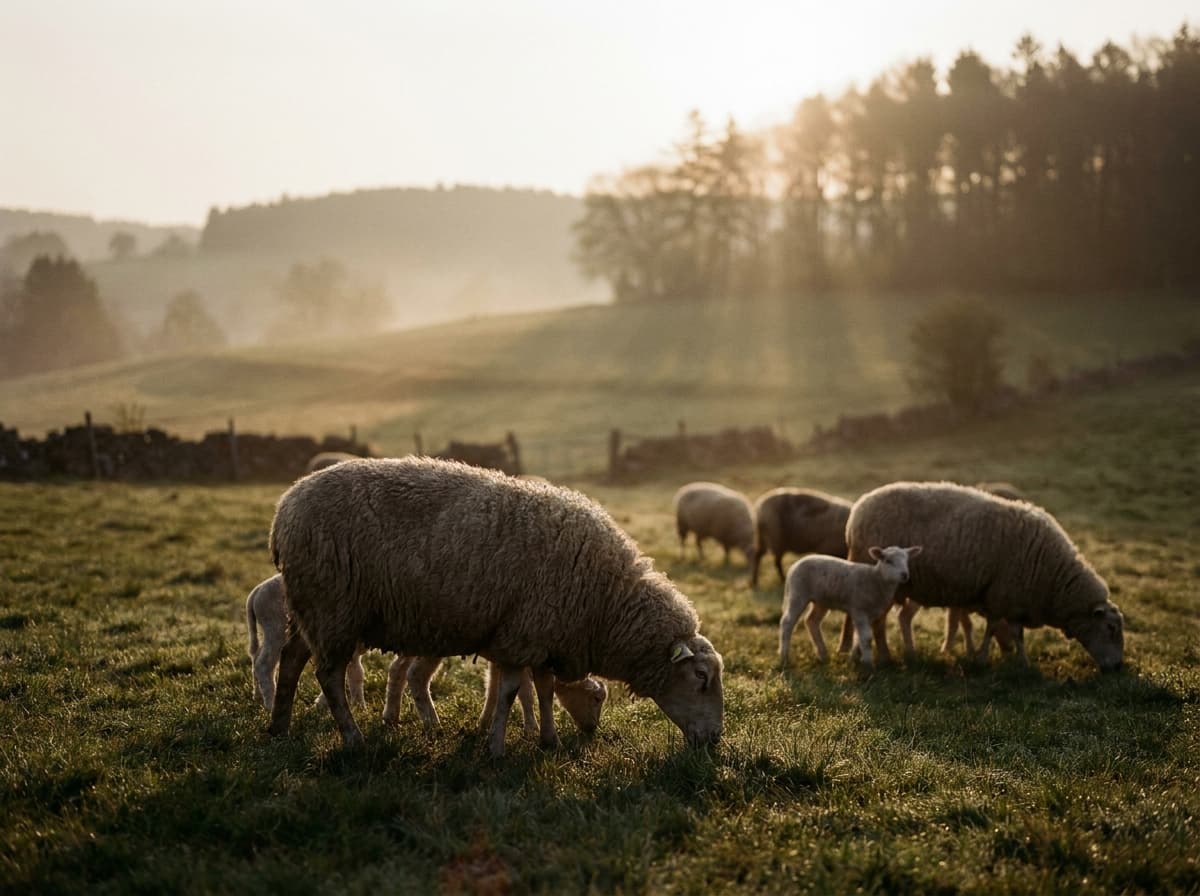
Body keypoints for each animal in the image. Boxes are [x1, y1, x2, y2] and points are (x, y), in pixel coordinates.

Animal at [246, 574, 606, 741]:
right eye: (597, 699)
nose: (592, 731)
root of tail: (254, 592)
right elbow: (526, 693)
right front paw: (530, 726)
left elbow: (497, 688)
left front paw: (487, 721)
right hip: (285, 628)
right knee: (268, 663)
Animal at [779, 546, 923, 668]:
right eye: (888, 561)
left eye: (906, 560)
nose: (905, 575)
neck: (875, 579)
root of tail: (794, 565)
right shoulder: (859, 609)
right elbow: (866, 637)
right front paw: (868, 664)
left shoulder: (870, 612)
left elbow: (859, 637)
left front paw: (854, 659)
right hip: (798, 593)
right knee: (787, 623)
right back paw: (784, 656)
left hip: (822, 600)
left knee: (811, 621)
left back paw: (823, 654)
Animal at [844, 481, 1124, 672]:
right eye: (1110, 628)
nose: (1119, 668)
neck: (1055, 579)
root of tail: (857, 511)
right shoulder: (1004, 596)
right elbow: (996, 629)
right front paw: (985, 658)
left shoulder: (1014, 601)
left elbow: (1014, 632)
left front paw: (1019, 660)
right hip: (880, 583)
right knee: (878, 623)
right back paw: (885, 657)